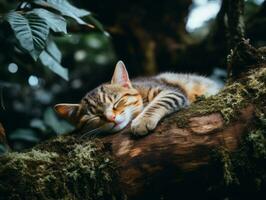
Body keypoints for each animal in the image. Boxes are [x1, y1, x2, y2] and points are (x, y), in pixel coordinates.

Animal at [53, 60, 220, 137]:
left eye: (116, 102)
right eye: (95, 116)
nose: (111, 118)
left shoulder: (171, 91)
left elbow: (158, 102)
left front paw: (143, 120)